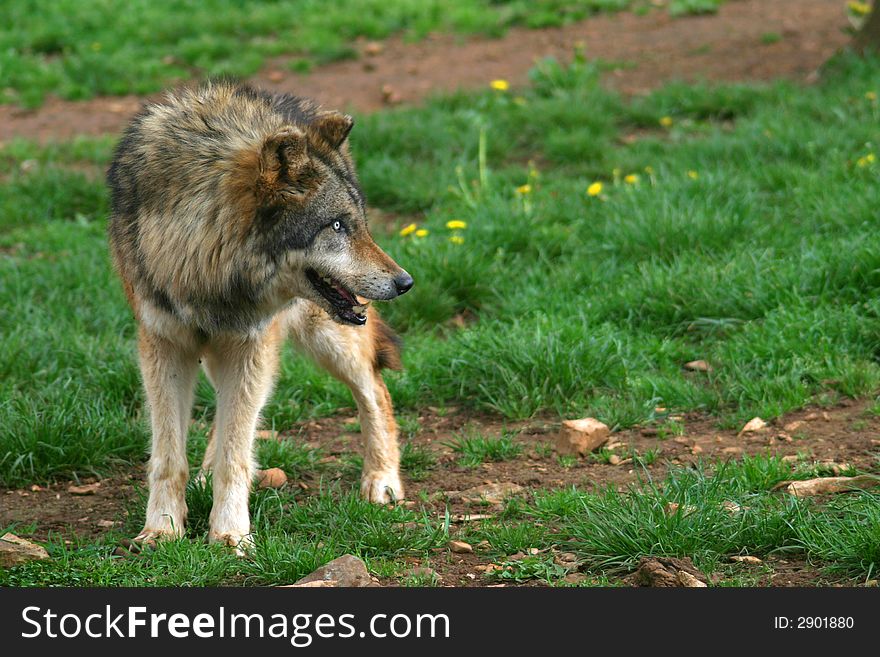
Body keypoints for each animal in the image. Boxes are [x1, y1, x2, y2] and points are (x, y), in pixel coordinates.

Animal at [107, 78, 416, 548]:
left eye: (358, 224)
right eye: (337, 226)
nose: (405, 282)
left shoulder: (251, 342)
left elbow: (236, 453)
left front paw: (231, 535)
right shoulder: (164, 345)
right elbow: (169, 456)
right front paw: (162, 528)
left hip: (327, 339)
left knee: (375, 391)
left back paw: (381, 482)